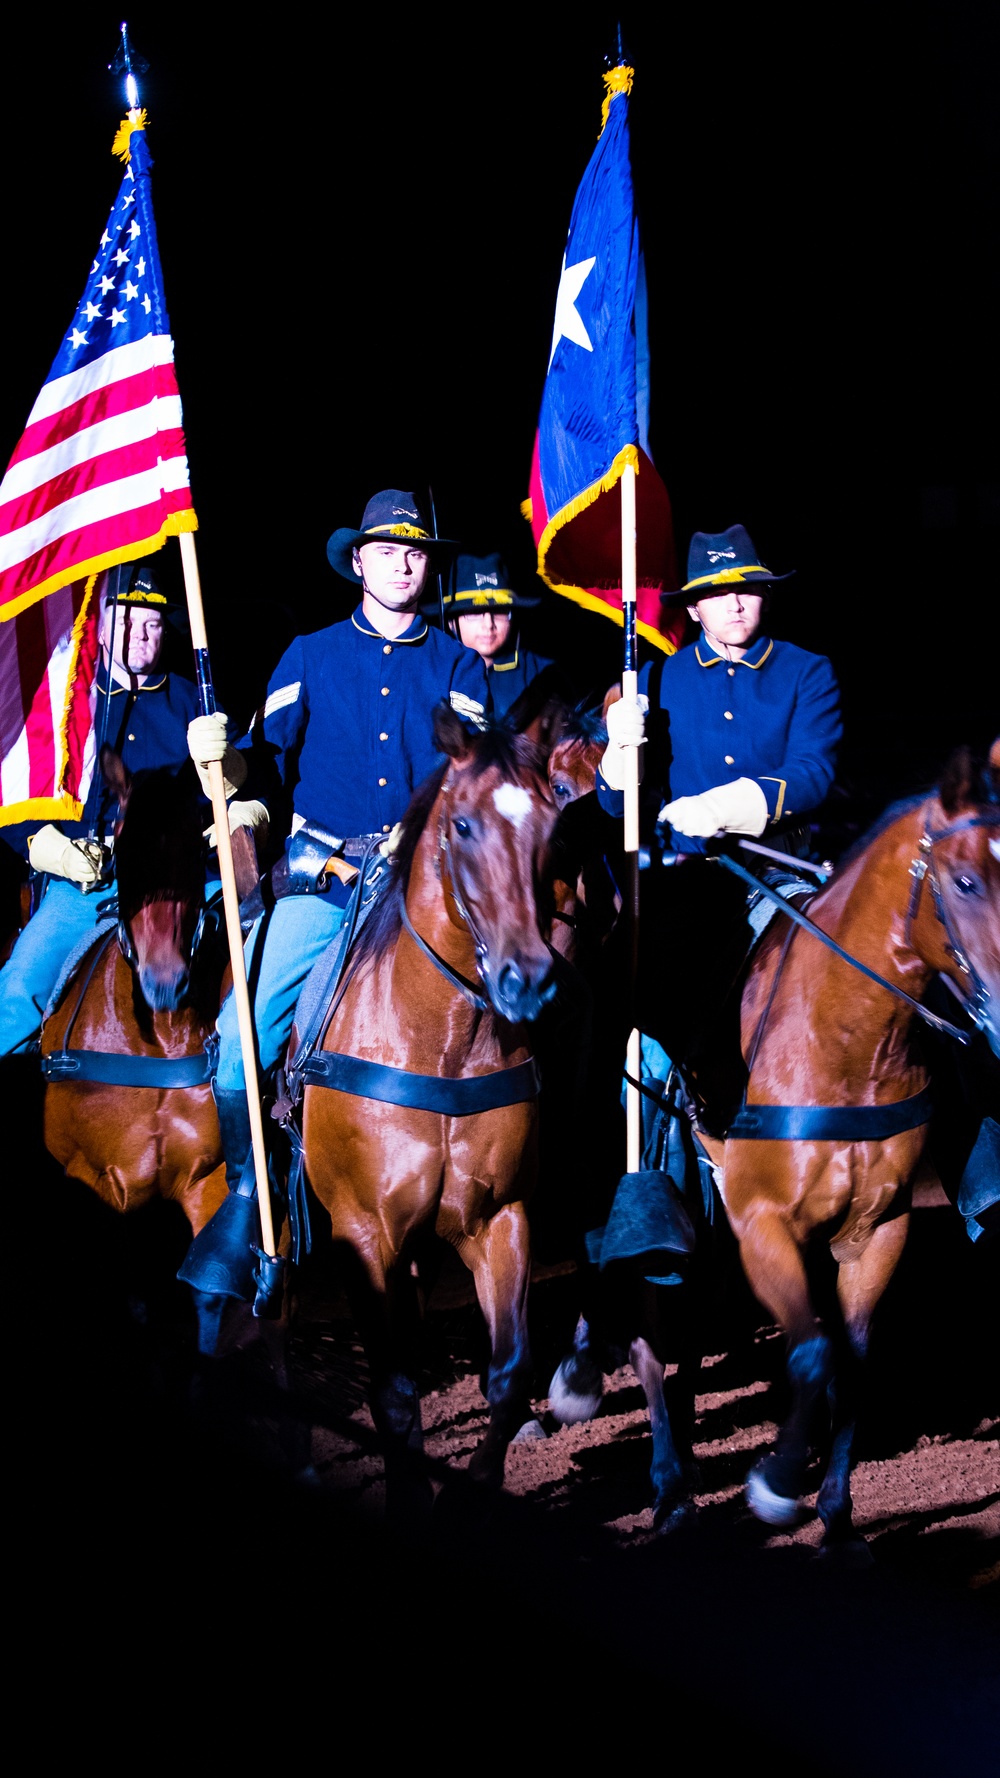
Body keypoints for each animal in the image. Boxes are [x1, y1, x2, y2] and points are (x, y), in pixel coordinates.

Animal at [295, 707, 562, 1500]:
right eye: (464, 825)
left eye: (552, 821)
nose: (528, 977)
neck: (435, 1042)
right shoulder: (362, 1236)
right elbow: (390, 1392)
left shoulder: (500, 1218)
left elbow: (507, 1374)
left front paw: (477, 1486)